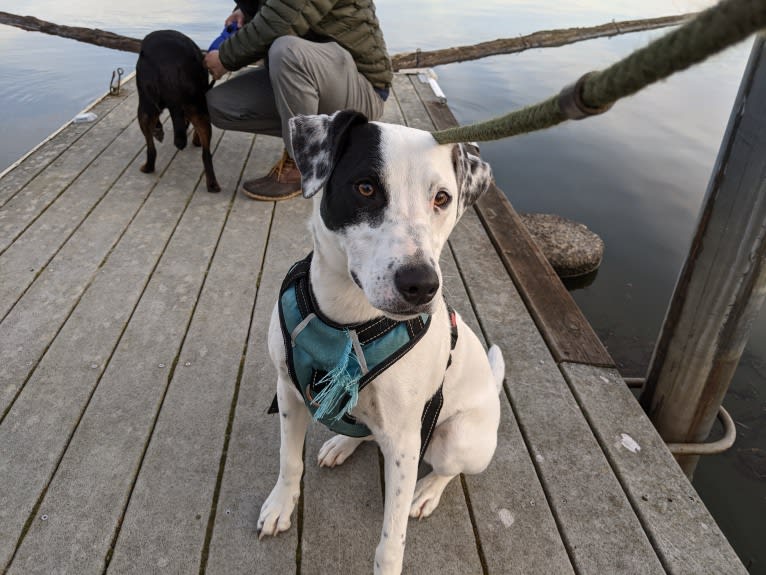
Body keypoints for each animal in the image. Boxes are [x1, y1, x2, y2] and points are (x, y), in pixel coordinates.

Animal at [134, 31, 219, 194]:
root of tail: (171, 66)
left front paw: (158, 130)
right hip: (199, 109)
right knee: (206, 154)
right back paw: (212, 185)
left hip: (144, 109)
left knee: (151, 149)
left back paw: (147, 167)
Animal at [260, 110, 508, 572]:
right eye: (365, 187)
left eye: (442, 198)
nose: (422, 285)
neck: (347, 319)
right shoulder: (288, 391)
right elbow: (288, 459)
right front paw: (282, 504)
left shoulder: (406, 445)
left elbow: (391, 540)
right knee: (366, 431)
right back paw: (343, 442)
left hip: (455, 439)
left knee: (447, 469)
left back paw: (426, 492)